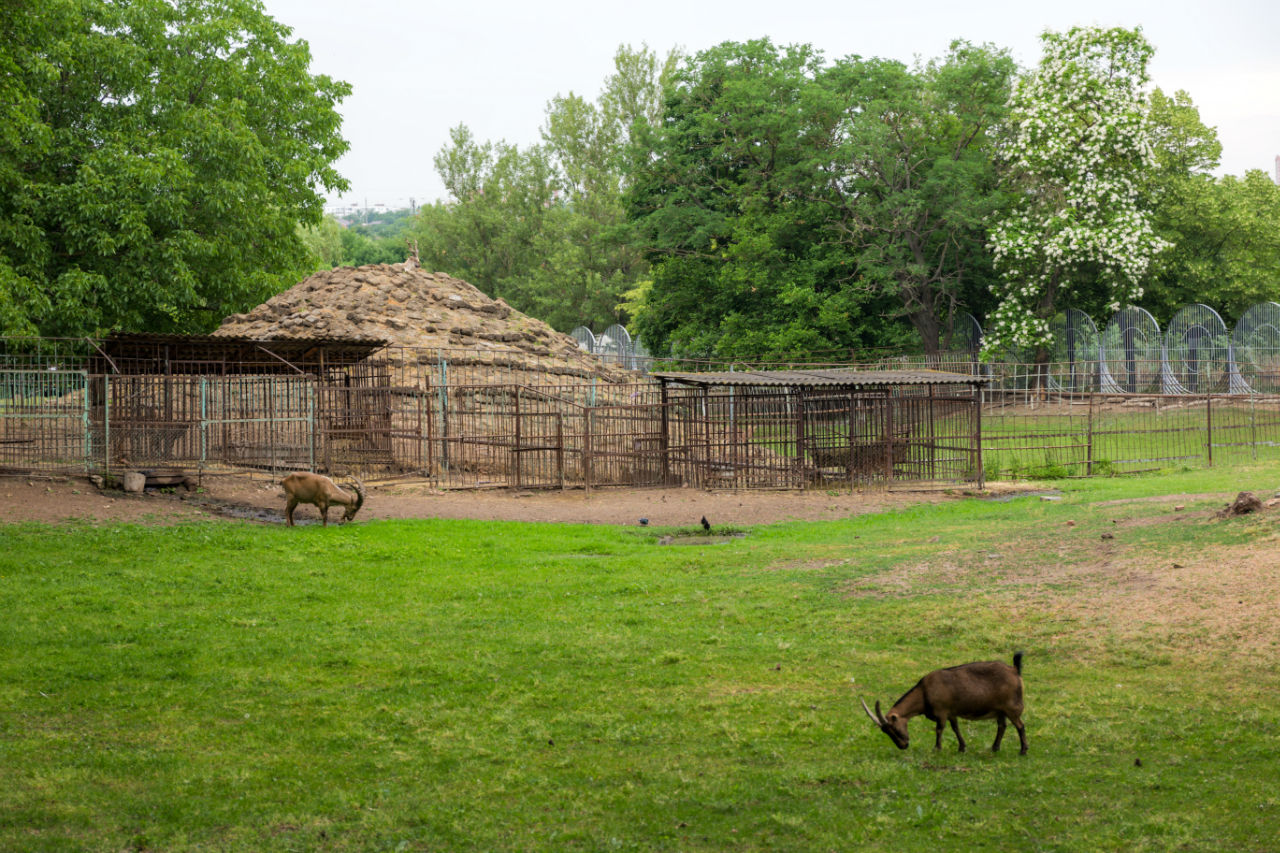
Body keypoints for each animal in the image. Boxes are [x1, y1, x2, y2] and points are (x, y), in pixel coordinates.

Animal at [860, 650, 1029, 753]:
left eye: (894, 728)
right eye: (885, 731)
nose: (903, 746)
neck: (924, 692)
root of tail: (1014, 670)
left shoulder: (941, 712)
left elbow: (939, 729)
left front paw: (937, 748)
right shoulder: (951, 712)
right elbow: (955, 728)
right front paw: (962, 747)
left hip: (1011, 707)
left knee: (1020, 725)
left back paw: (1023, 750)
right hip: (1001, 710)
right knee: (1002, 726)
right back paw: (995, 748)